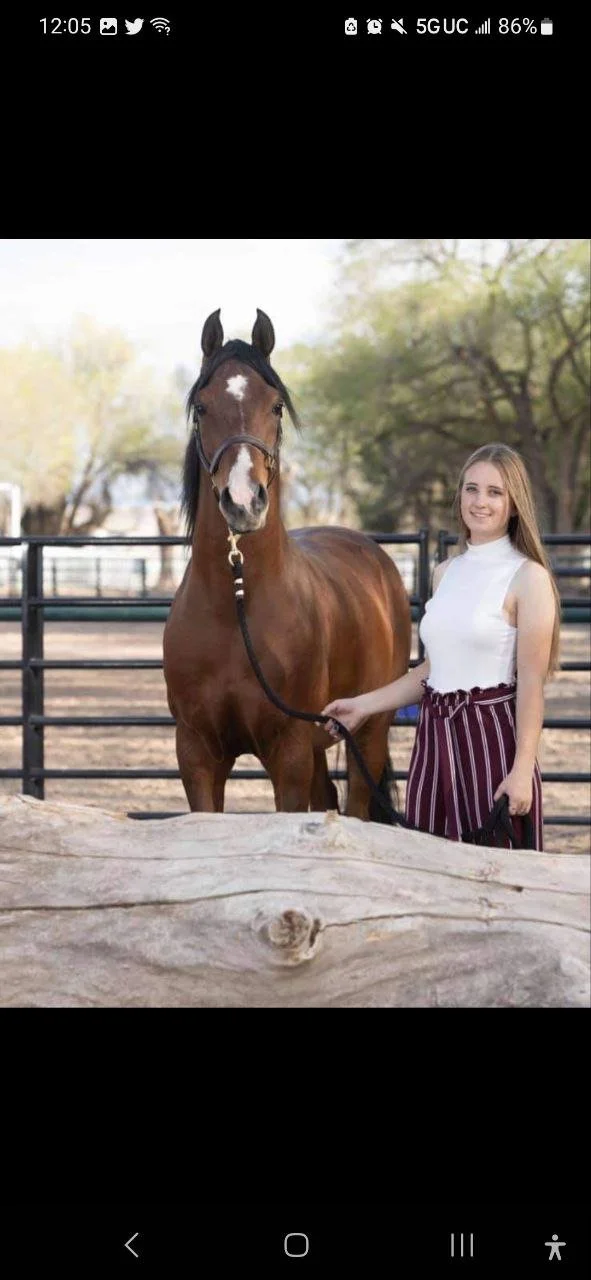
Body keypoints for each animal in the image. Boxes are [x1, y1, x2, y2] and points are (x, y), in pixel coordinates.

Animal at [163, 308, 411, 819]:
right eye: (202, 407)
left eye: (276, 406)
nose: (243, 502)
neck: (235, 611)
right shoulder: (197, 752)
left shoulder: (290, 751)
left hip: (369, 734)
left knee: (356, 805)